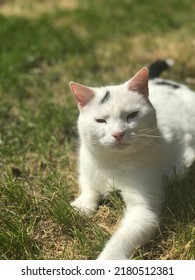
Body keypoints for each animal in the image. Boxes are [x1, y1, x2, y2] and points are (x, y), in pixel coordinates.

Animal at [69, 62, 195, 260]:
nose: (118, 134)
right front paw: (81, 207)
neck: (111, 163)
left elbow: (121, 240)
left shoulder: (143, 210)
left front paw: (105, 259)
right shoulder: (86, 167)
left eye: (132, 115)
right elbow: (88, 188)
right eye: (100, 121)